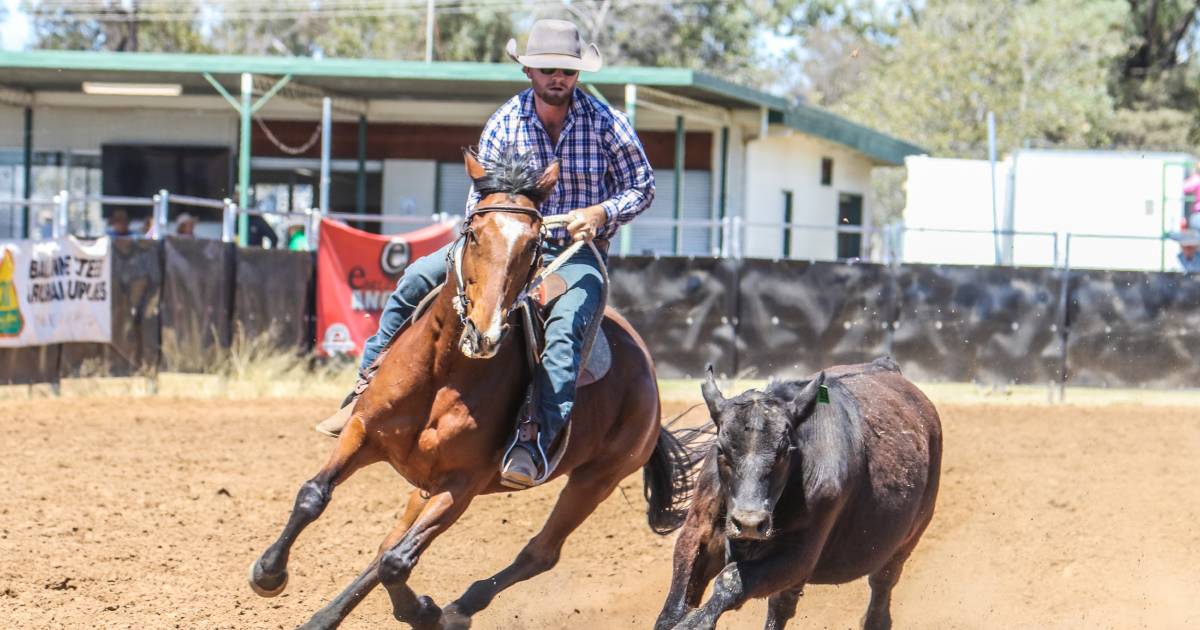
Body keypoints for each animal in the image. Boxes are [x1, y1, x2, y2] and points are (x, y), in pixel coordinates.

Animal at [249, 150, 700, 624]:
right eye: (473, 233)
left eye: (534, 243)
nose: (486, 332)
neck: (442, 373)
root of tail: (649, 379)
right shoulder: (363, 432)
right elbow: (314, 496)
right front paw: (269, 573)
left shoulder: (463, 483)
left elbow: (398, 562)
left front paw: (425, 613)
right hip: (426, 483)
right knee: (388, 544)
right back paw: (325, 618)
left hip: (598, 478)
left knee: (538, 553)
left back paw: (456, 610)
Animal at [657, 355, 945, 624]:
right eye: (721, 449)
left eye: (785, 451)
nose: (749, 523)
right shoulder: (697, 530)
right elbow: (676, 603)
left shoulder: (799, 556)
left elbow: (730, 580)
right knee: (782, 607)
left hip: (904, 543)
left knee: (880, 592)